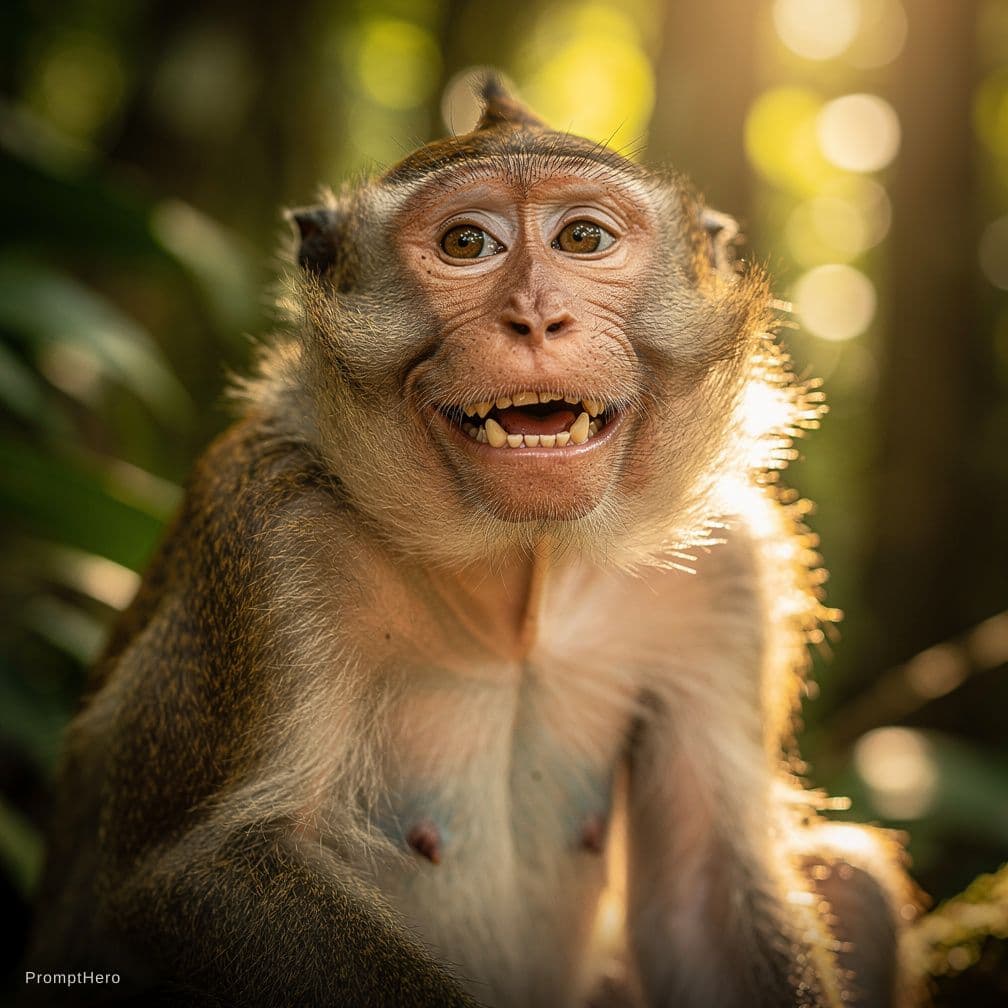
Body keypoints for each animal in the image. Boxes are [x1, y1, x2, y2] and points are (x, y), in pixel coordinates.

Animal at [25, 77, 922, 1008]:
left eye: (583, 238)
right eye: (467, 244)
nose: (535, 317)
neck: (522, 578)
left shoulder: (730, 571)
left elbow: (704, 886)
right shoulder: (269, 537)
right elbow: (200, 870)